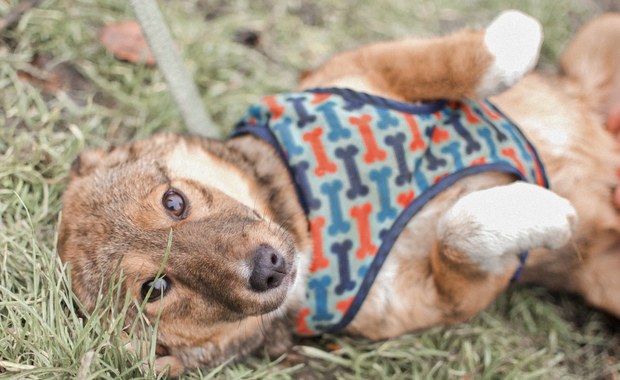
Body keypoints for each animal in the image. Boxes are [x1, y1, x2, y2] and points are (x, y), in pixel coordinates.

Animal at [58, 10, 620, 376]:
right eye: (156, 289)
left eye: (173, 202)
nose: (268, 268)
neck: (305, 219)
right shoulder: (443, 299)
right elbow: (460, 230)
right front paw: (538, 210)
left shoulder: (360, 70)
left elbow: (460, 59)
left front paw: (516, 33)